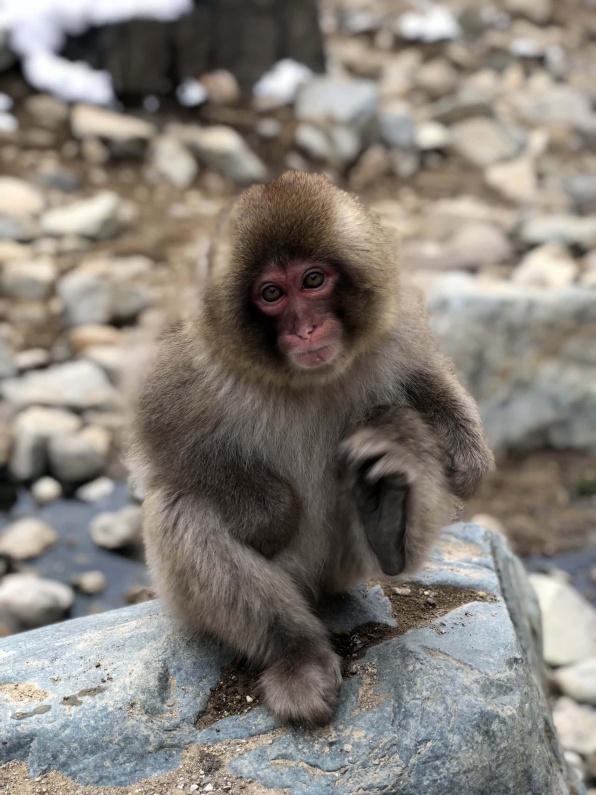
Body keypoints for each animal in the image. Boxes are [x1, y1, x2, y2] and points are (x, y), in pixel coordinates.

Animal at [129, 171, 494, 727]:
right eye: (271, 293)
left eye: (314, 280)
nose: (306, 328)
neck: (307, 380)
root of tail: (319, 586)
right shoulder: (192, 366)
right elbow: (161, 441)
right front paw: (270, 514)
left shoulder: (396, 328)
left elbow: (422, 376)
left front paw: (469, 459)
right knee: (181, 509)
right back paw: (297, 655)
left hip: (346, 564)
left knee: (394, 421)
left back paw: (389, 514)